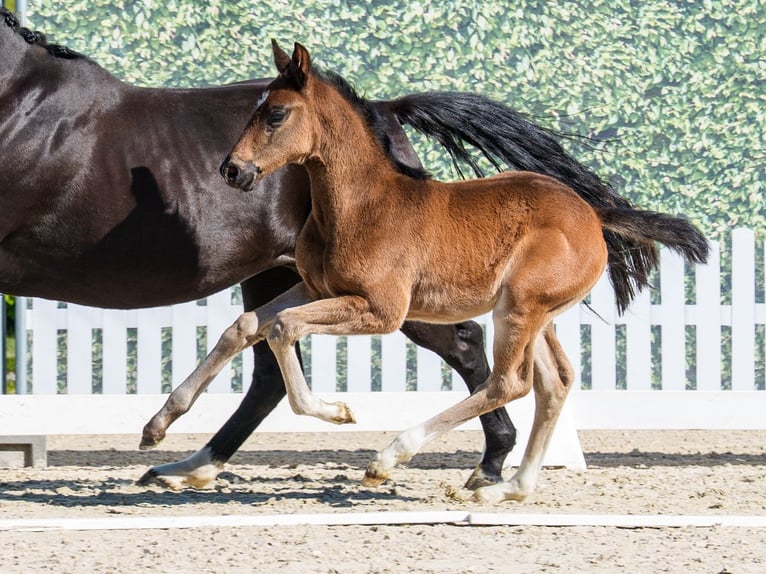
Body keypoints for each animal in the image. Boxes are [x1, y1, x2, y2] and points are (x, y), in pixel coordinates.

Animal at [204, 41, 709, 502]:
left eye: (275, 114)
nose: (232, 170)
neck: (359, 206)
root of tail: (592, 215)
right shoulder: (314, 288)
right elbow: (250, 324)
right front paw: (179, 421)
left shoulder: (382, 311)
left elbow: (282, 328)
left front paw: (340, 412)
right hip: (535, 315)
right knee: (555, 382)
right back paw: (509, 489)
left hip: (519, 309)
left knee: (509, 382)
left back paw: (391, 458)